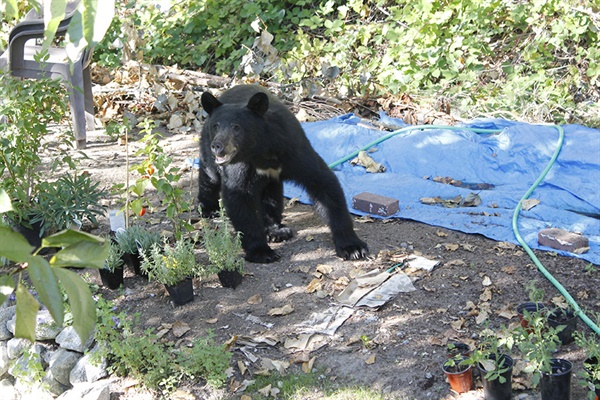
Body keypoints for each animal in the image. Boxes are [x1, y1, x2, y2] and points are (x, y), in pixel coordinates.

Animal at [198, 85, 366, 262]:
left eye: (236, 127)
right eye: (216, 126)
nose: (218, 146)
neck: (262, 152)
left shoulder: (294, 150)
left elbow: (323, 183)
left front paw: (353, 247)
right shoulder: (240, 165)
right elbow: (239, 195)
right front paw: (262, 251)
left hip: (270, 179)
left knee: (272, 196)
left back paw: (276, 230)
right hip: (207, 148)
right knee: (209, 175)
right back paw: (208, 208)